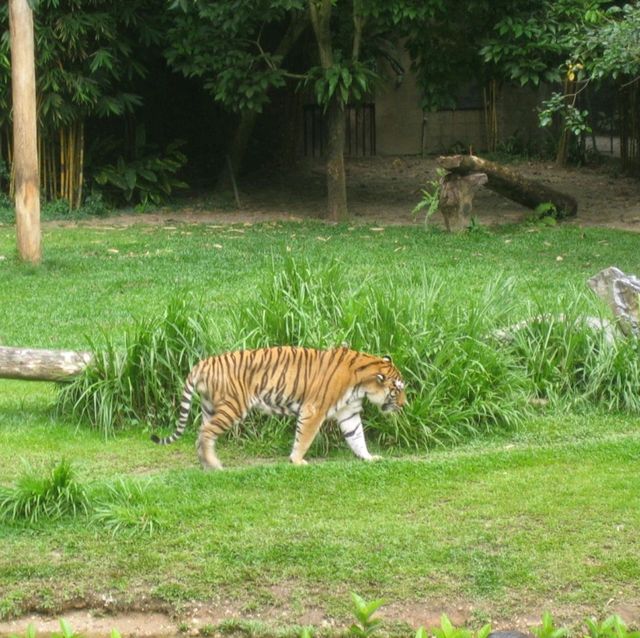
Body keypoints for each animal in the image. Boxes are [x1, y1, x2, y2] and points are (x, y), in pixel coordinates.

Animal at [151, 344, 404, 470]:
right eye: (398, 390)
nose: (404, 405)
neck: (362, 384)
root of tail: (204, 362)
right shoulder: (314, 410)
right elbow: (304, 438)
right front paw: (297, 461)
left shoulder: (348, 413)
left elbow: (357, 437)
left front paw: (369, 458)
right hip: (234, 406)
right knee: (205, 433)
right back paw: (214, 465)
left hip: (209, 407)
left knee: (201, 434)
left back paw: (206, 465)